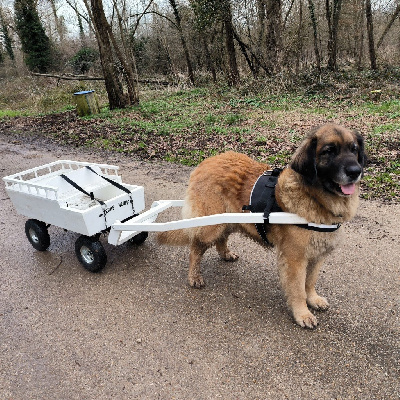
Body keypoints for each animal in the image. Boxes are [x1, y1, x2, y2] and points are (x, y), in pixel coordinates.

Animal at [158, 124, 364, 328]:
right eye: (328, 151)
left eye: (353, 149)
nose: (356, 171)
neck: (315, 198)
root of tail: (206, 161)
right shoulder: (295, 259)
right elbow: (298, 289)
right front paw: (302, 313)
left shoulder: (317, 255)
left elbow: (310, 282)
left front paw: (312, 299)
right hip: (211, 226)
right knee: (195, 248)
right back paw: (194, 276)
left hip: (228, 221)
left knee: (221, 239)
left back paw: (226, 254)